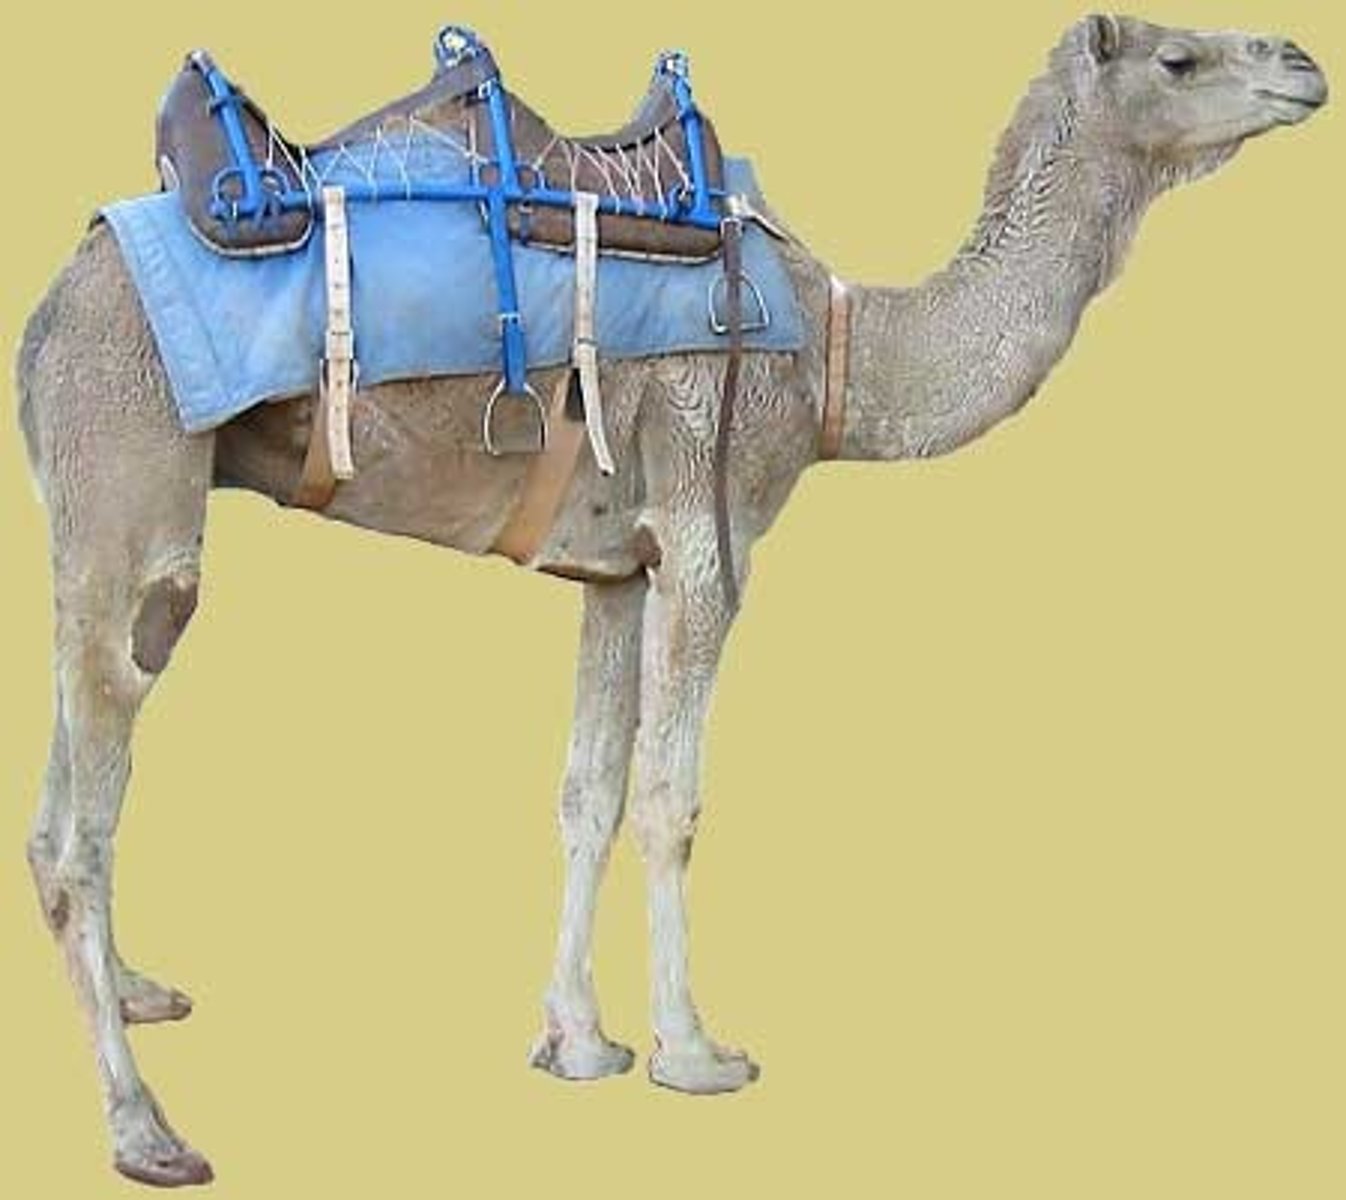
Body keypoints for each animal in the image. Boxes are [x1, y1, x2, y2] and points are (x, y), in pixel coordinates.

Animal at [16, 14, 1328, 1187]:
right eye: (1178, 58)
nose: (1304, 64)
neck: (838, 352)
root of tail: (47, 316)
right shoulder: (710, 523)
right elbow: (669, 797)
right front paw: (693, 1052)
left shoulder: (616, 564)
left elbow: (587, 791)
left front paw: (576, 1040)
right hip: (129, 468)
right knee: (93, 785)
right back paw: (146, 1131)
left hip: (91, 512)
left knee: (62, 786)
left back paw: (136, 995)